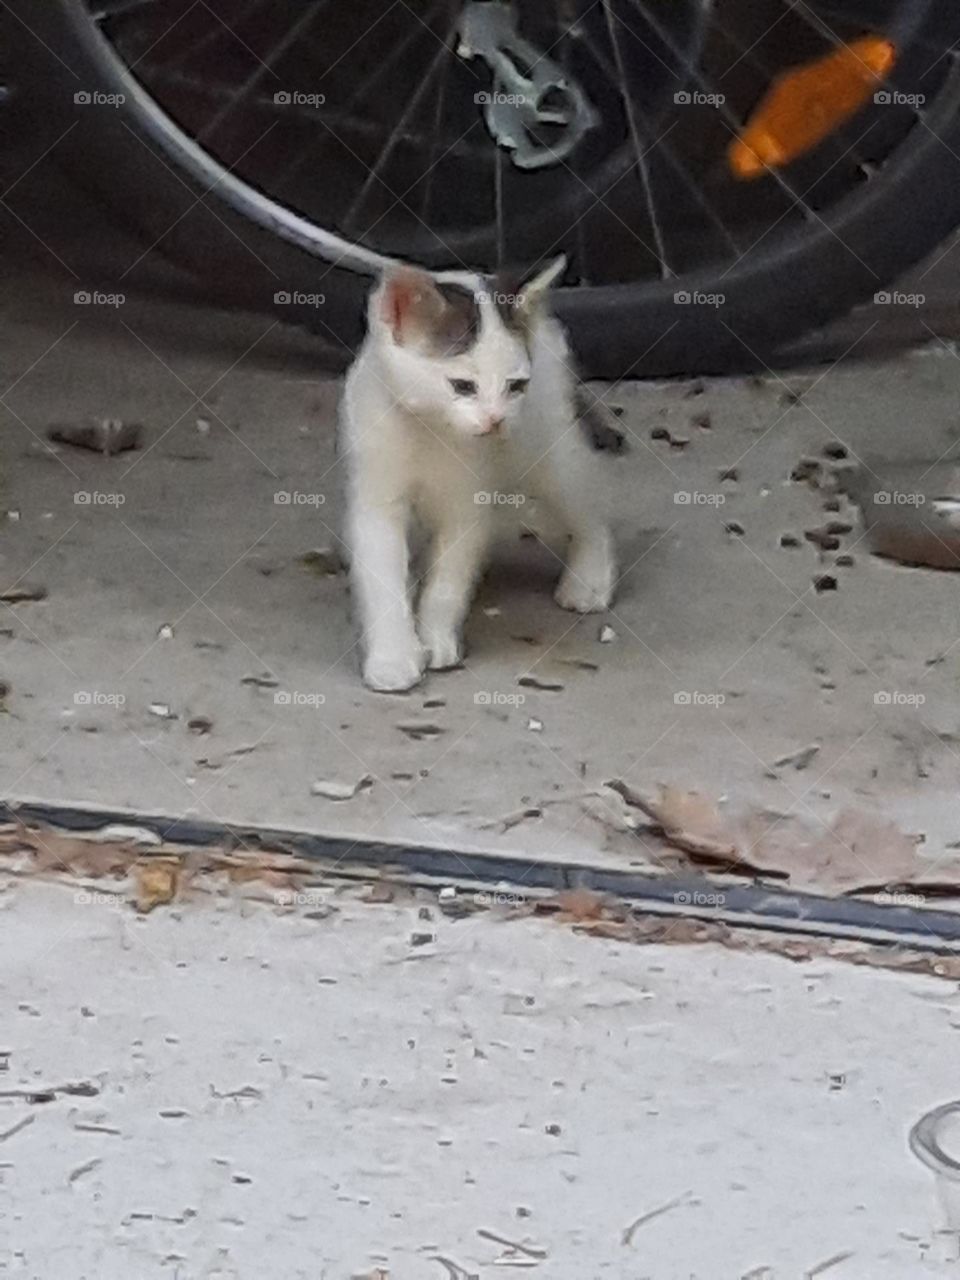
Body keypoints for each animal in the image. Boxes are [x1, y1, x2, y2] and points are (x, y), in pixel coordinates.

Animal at [343, 257, 619, 691]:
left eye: (516, 386)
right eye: (462, 386)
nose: (494, 420)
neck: (433, 430)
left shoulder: (468, 504)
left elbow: (449, 580)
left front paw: (436, 640)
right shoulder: (376, 497)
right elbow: (383, 577)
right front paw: (393, 659)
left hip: (546, 446)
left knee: (587, 499)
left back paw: (589, 579)